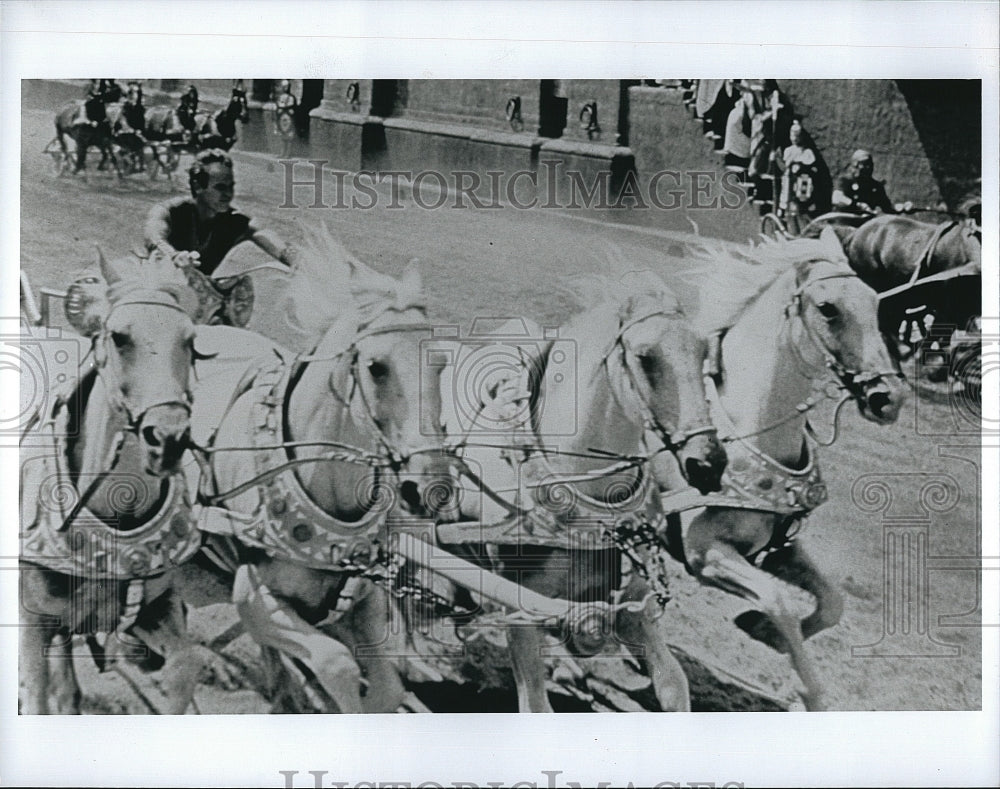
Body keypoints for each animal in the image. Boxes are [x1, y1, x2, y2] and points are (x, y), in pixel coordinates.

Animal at [19, 251, 228, 716]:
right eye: (119, 337)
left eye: (192, 344)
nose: (168, 438)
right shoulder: (31, 619)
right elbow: (35, 695)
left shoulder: (156, 609)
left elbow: (184, 666)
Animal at [446, 268, 728, 712]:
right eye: (645, 357)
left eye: (704, 354)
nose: (709, 463)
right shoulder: (520, 616)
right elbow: (536, 705)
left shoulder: (634, 612)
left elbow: (673, 686)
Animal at [664, 226, 908, 708]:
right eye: (828, 308)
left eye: (875, 304)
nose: (887, 398)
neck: (747, 430)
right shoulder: (705, 551)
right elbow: (778, 600)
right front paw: (803, 686)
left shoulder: (781, 548)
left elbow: (832, 602)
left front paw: (762, 632)